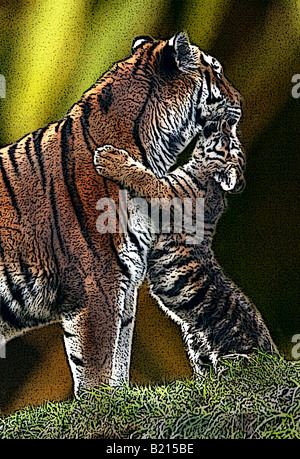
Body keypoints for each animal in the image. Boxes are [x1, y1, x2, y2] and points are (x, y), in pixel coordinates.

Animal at [0, 33, 239, 398]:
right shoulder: (99, 285)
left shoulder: (125, 284)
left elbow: (119, 359)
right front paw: (97, 407)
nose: (241, 101)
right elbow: (97, 365)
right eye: (216, 70)